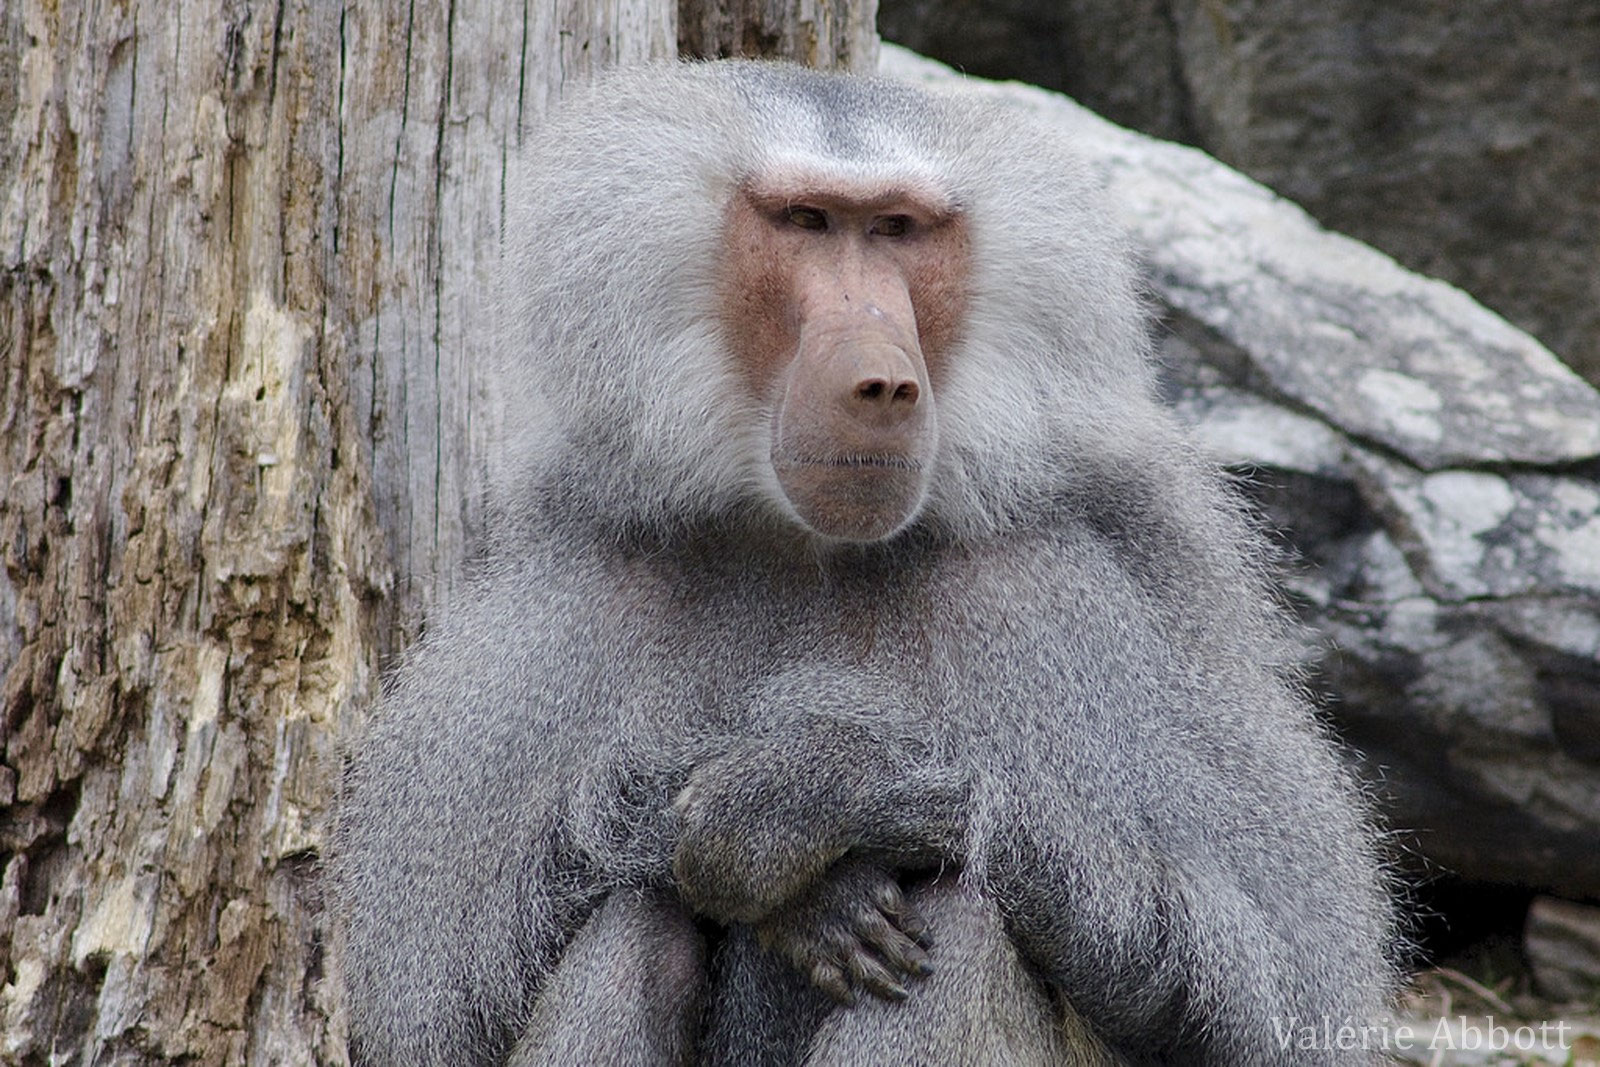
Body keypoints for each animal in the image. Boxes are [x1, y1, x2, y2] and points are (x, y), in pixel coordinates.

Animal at [332, 61, 1397, 1065]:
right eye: (808, 222)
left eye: (896, 229)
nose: (881, 382)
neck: (818, 550)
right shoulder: (583, 588)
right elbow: (449, 1004)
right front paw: (799, 885)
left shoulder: (1059, 590)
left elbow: (1231, 993)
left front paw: (803, 794)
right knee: (632, 928)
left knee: (968, 917)